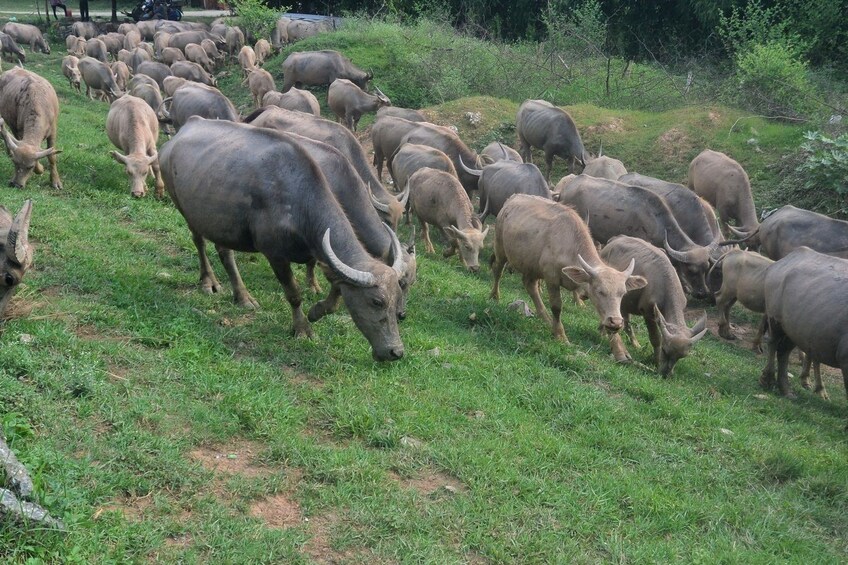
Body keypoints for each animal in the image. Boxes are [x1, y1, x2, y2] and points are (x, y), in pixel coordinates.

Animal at [161, 118, 408, 362]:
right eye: (377, 302)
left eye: (397, 296)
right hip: (185, 209)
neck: (298, 201)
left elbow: (336, 291)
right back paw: (208, 282)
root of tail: (183, 129)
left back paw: (243, 297)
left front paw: (316, 311)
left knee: (225, 253)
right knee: (199, 243)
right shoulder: (275, 255)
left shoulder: (321, 255)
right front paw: (302, 328)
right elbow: (294, 294)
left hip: (220, 223)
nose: (395, 352)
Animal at [490, 194, 644, 342]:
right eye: (600, 291)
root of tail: (512, 198)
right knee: (498, 271)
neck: (569, 246)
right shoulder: (551, 277)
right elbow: (557, 306)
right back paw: (495, 296)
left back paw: (545, 317)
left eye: (622, 293)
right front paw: (560, 335)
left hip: (531, 265)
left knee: (530, 286)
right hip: (500, 248)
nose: (616, 322)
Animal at [604, 235, 708, 374]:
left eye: (681, 357)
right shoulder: (648, 313)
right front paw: (656, 361)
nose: (665, 374)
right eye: (664, 350)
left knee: (626, 320)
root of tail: (615, 239)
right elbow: (655, 338)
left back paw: (635, 344)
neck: (666, 285)